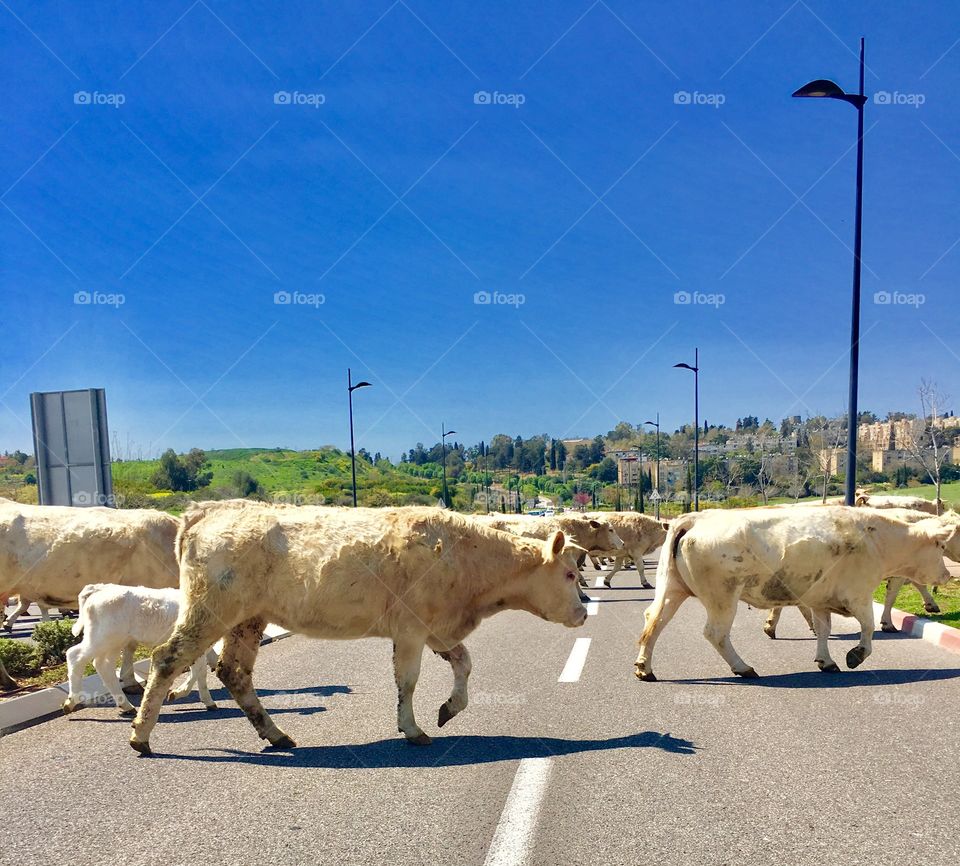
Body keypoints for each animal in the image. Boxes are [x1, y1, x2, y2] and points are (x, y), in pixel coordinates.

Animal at [129, 503, 587, 755]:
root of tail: (208, 510)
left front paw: (449, 709)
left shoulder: (438, 629)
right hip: (211, 610)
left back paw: (276, 735)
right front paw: (413, 729)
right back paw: (141, 737)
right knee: (167, 658)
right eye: (569, 573)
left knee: (234, 672)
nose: (583, 613)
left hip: (247, 619)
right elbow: (408, 681)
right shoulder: (411, 629)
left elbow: (465, 663)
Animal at [634, 506, 960, 681]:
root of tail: (695, 519)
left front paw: (826, 661)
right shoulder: (858, 594)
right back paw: (744, 668)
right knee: (715, 633)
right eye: (942, 546)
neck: (877, 539)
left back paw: (644, 668)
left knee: (653, 622)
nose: (947, 575)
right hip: (722, 597)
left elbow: (823, 630)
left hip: (672, 588)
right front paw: (856, 655)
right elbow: (867, 627)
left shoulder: (821, 599)